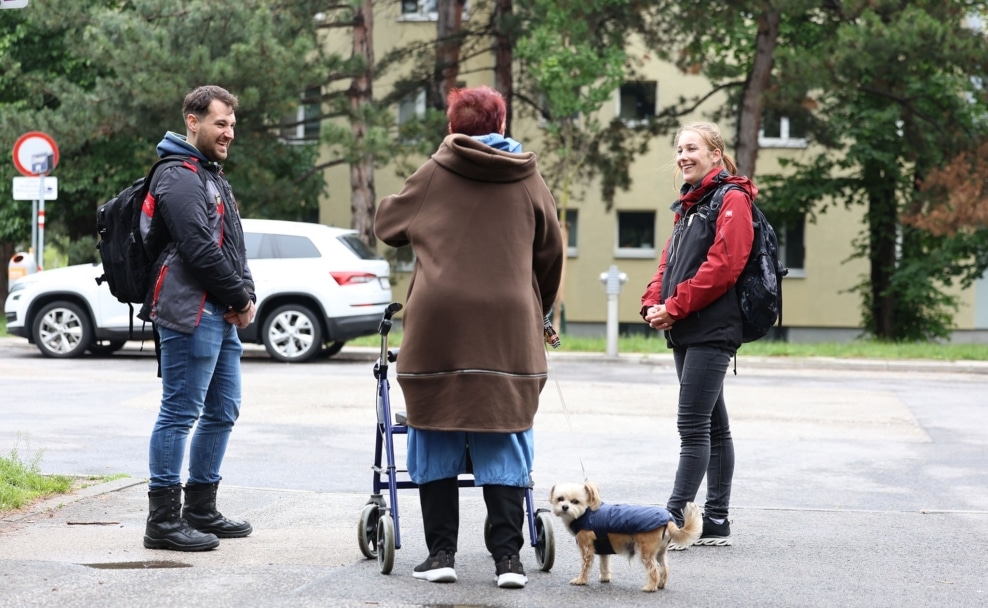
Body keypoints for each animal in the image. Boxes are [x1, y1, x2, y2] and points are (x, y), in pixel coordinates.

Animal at [548, 482, 704, 592]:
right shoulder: (603, 550)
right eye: (560, 499)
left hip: (645, 552)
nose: (564, 507)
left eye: (575, 501)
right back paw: (660, 584)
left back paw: (650, 587)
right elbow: (604, 564)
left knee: (654, 570)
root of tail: (669, 520)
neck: (586, 513)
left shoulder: (586, 549)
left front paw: (581, 580)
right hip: (660, 553)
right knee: (664, 569)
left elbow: (585, 566)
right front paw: (605, 578)